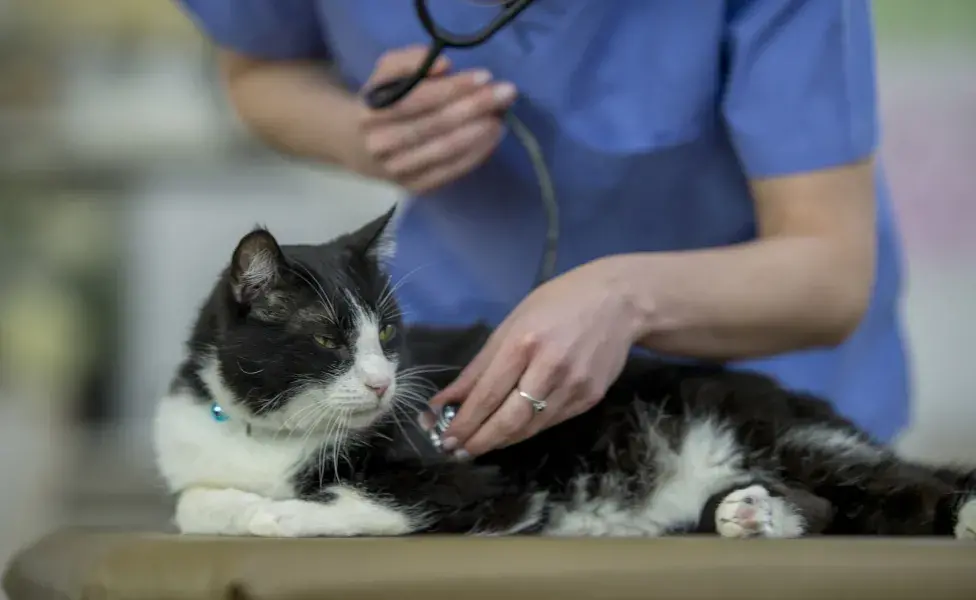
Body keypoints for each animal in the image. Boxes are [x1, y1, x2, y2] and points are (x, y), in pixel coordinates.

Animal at [154, 210, 976, 540]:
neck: (270, 436)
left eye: (386, 333)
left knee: (897, 489)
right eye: (327, 338)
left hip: (776, 432)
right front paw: (240, 507)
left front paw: (280, 515)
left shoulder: (474, 482)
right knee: (838, 507)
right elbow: (193, 503)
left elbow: (370, 501)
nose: (387, 384)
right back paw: (752, 516)